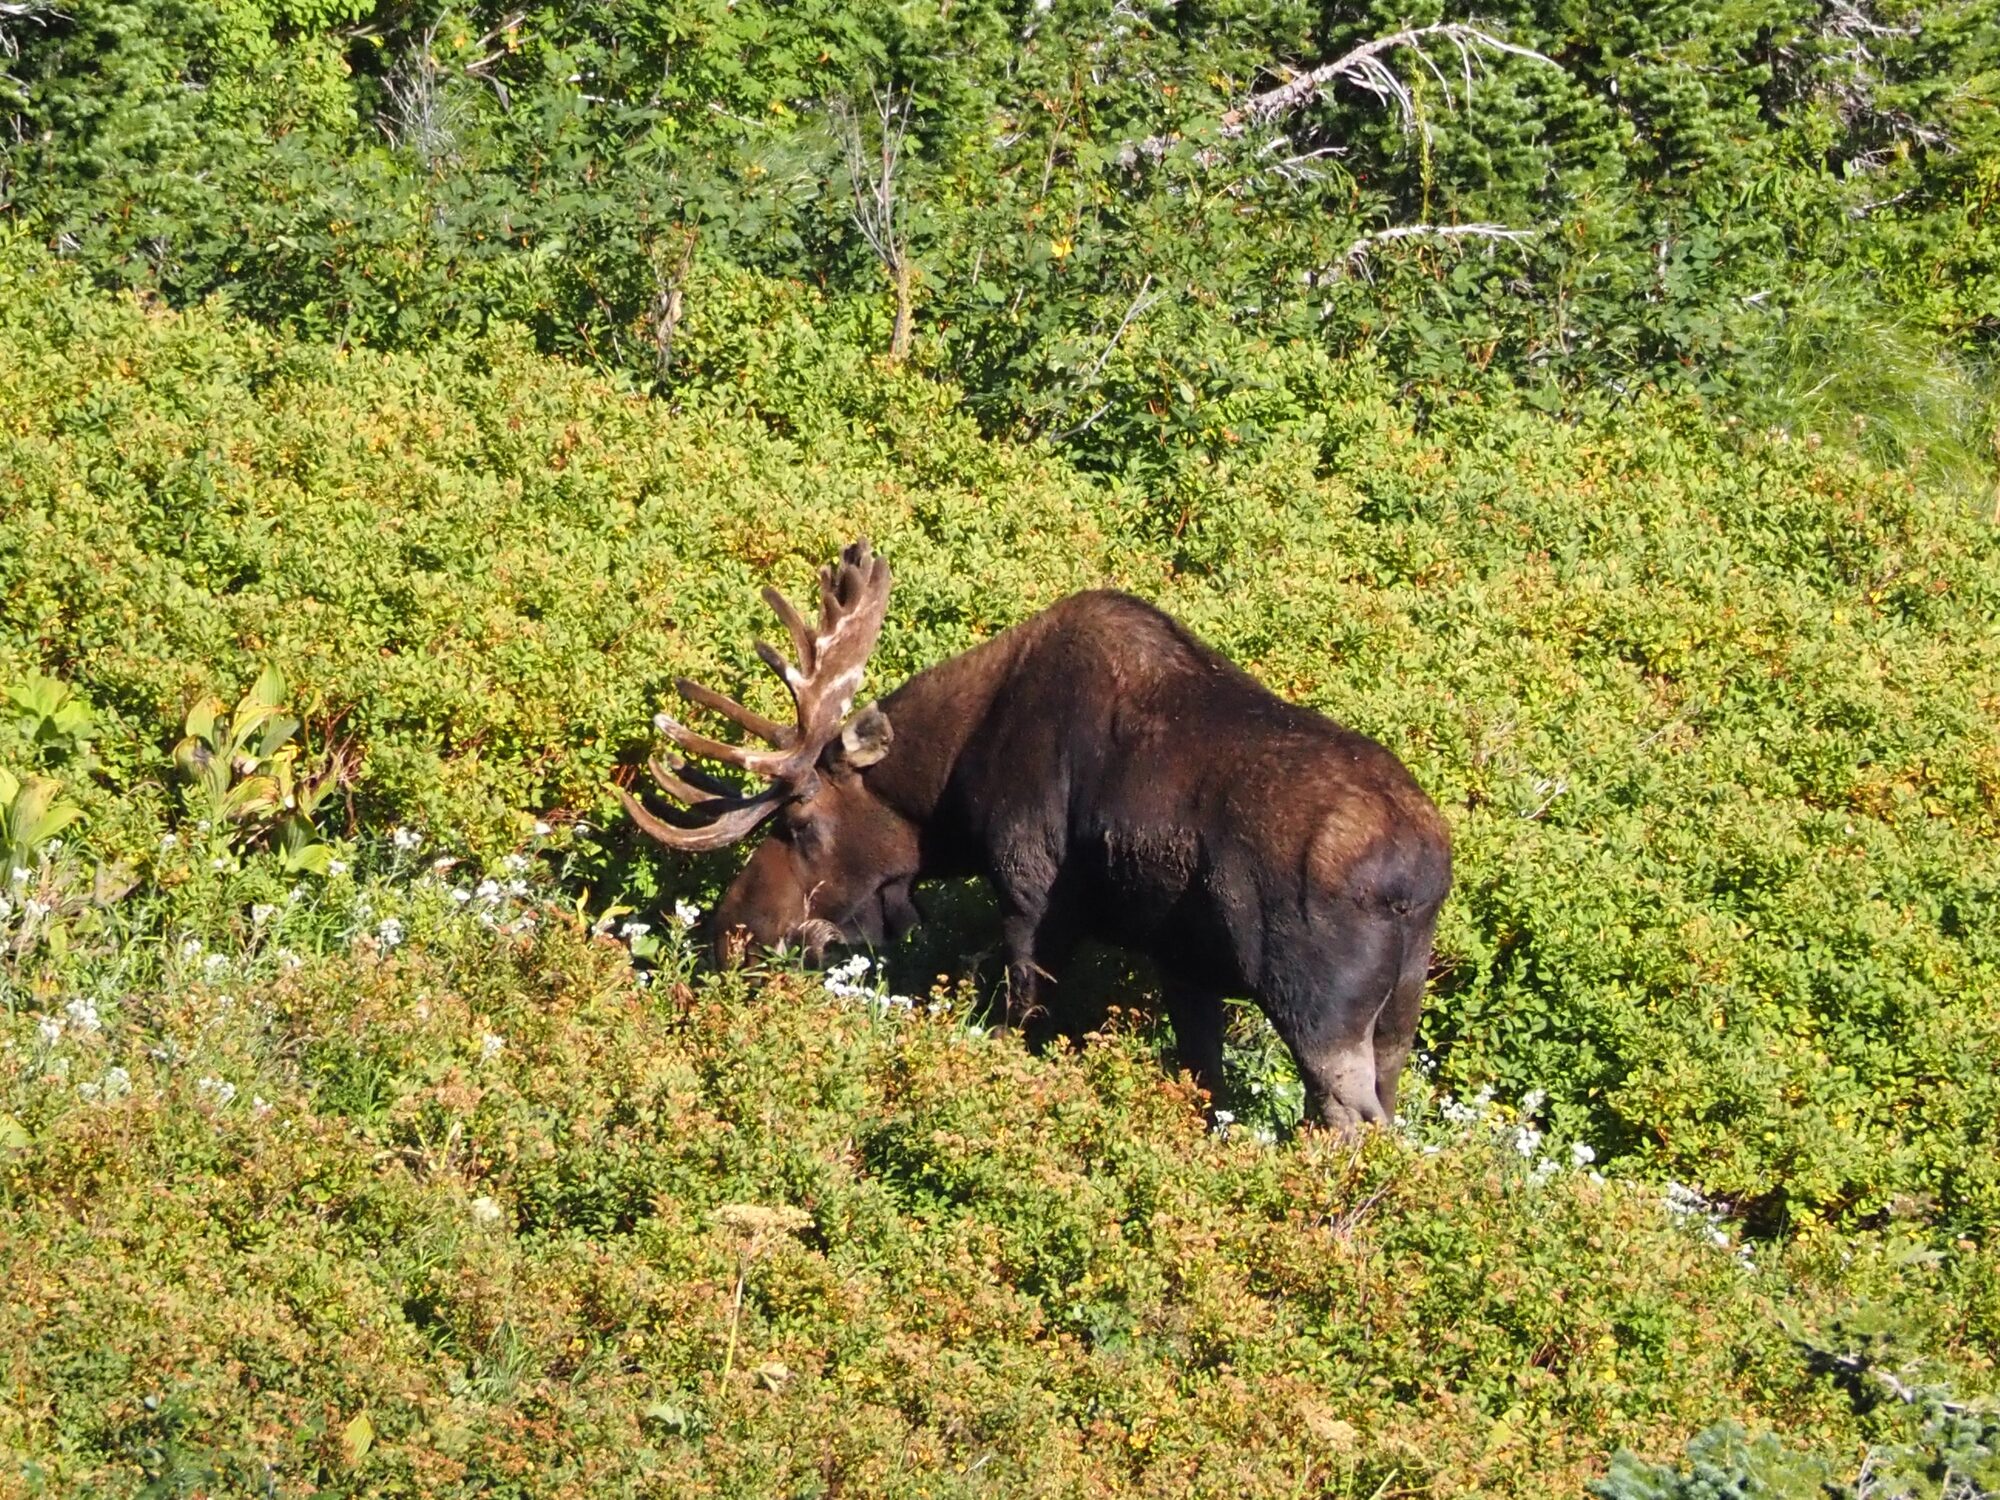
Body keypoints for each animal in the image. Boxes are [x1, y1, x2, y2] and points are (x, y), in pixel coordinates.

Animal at [616, 540, 1452, 1130]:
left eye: (799, 822)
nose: (732, 932)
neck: (958, 775)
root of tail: (1423, 877)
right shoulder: (1183, 959)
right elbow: (1202, 1081)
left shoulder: (1031, 891)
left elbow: (1023, 1019)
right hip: (1400, 1012)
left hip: (1318, 1006)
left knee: (1350, 1119)